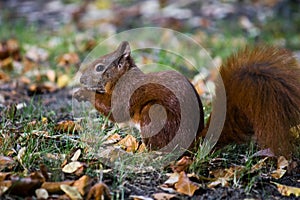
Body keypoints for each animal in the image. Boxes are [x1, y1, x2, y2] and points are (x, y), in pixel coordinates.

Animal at [74, 41, 300, 157]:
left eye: (100, 67)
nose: (82, 79)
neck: (121, 78)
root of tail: (194, 142)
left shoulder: (126, 92)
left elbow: (115, 110)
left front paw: (83, 93)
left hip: (154, 115)